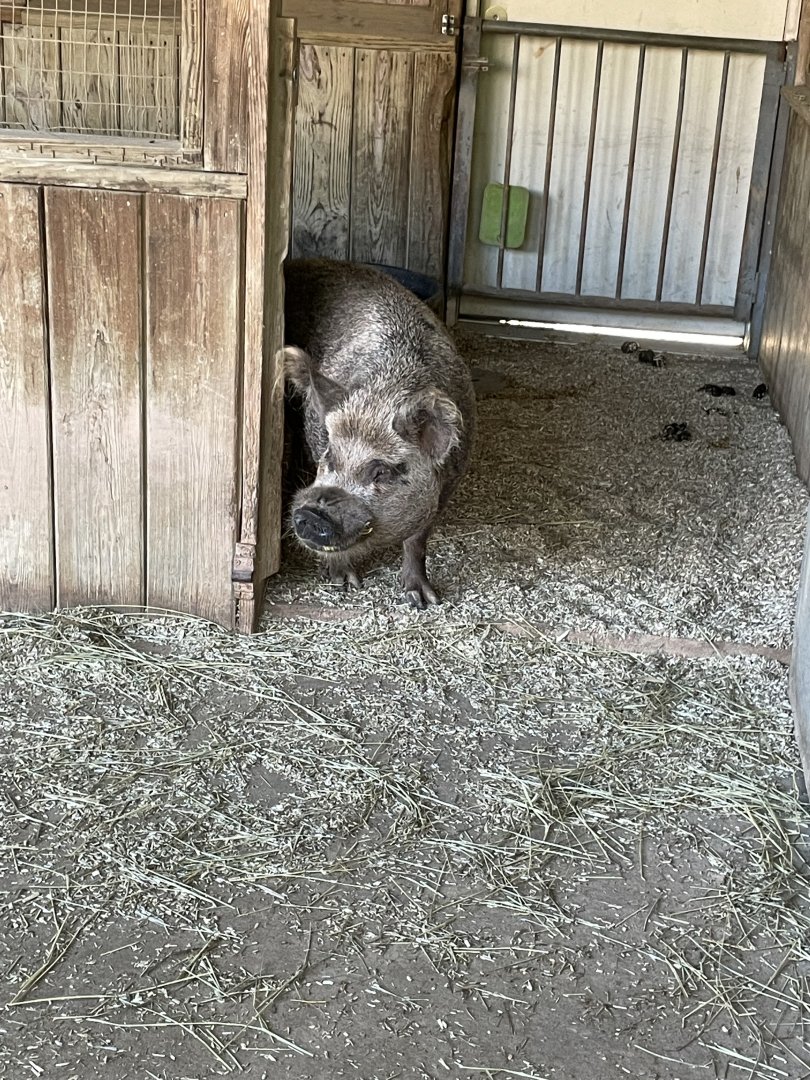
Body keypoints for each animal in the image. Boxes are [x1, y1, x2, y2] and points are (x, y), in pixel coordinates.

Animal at [283, 258, 476, 608]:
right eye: (330, 457)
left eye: (381, 471)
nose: (313, 511)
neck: (381, 397)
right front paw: (345, 583)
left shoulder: (447, 486)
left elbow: (417, 540)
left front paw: (423, 600)